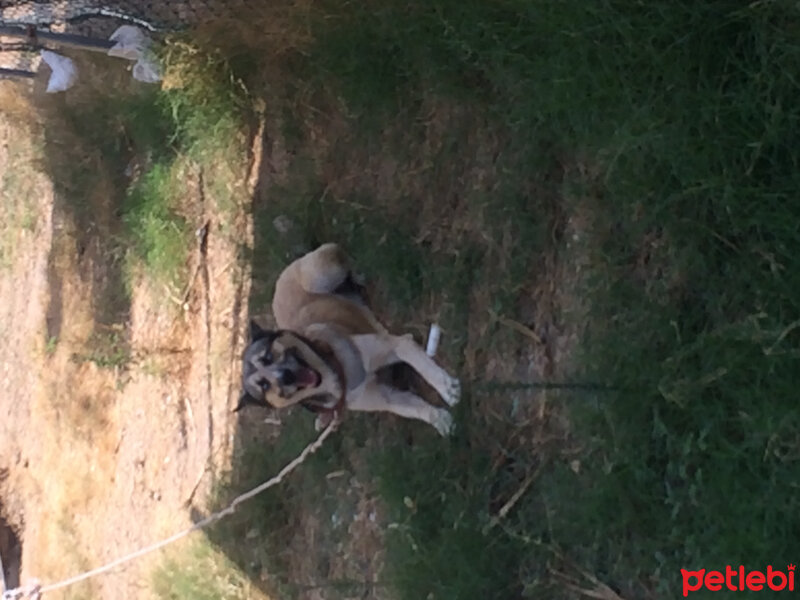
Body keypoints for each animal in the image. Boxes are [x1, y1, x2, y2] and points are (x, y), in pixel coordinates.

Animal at [238, 241, 460, 434]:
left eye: (267, 356)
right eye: (263, 385)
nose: (286, 376)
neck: (335, 374)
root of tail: (279, 280)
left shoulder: (397, 345)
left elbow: (425, 367)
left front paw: (447, 388)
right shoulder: (384, 397)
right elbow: (414, 408)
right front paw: (437, 417)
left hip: (318, 276)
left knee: (340, 254)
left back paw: (356, 276)